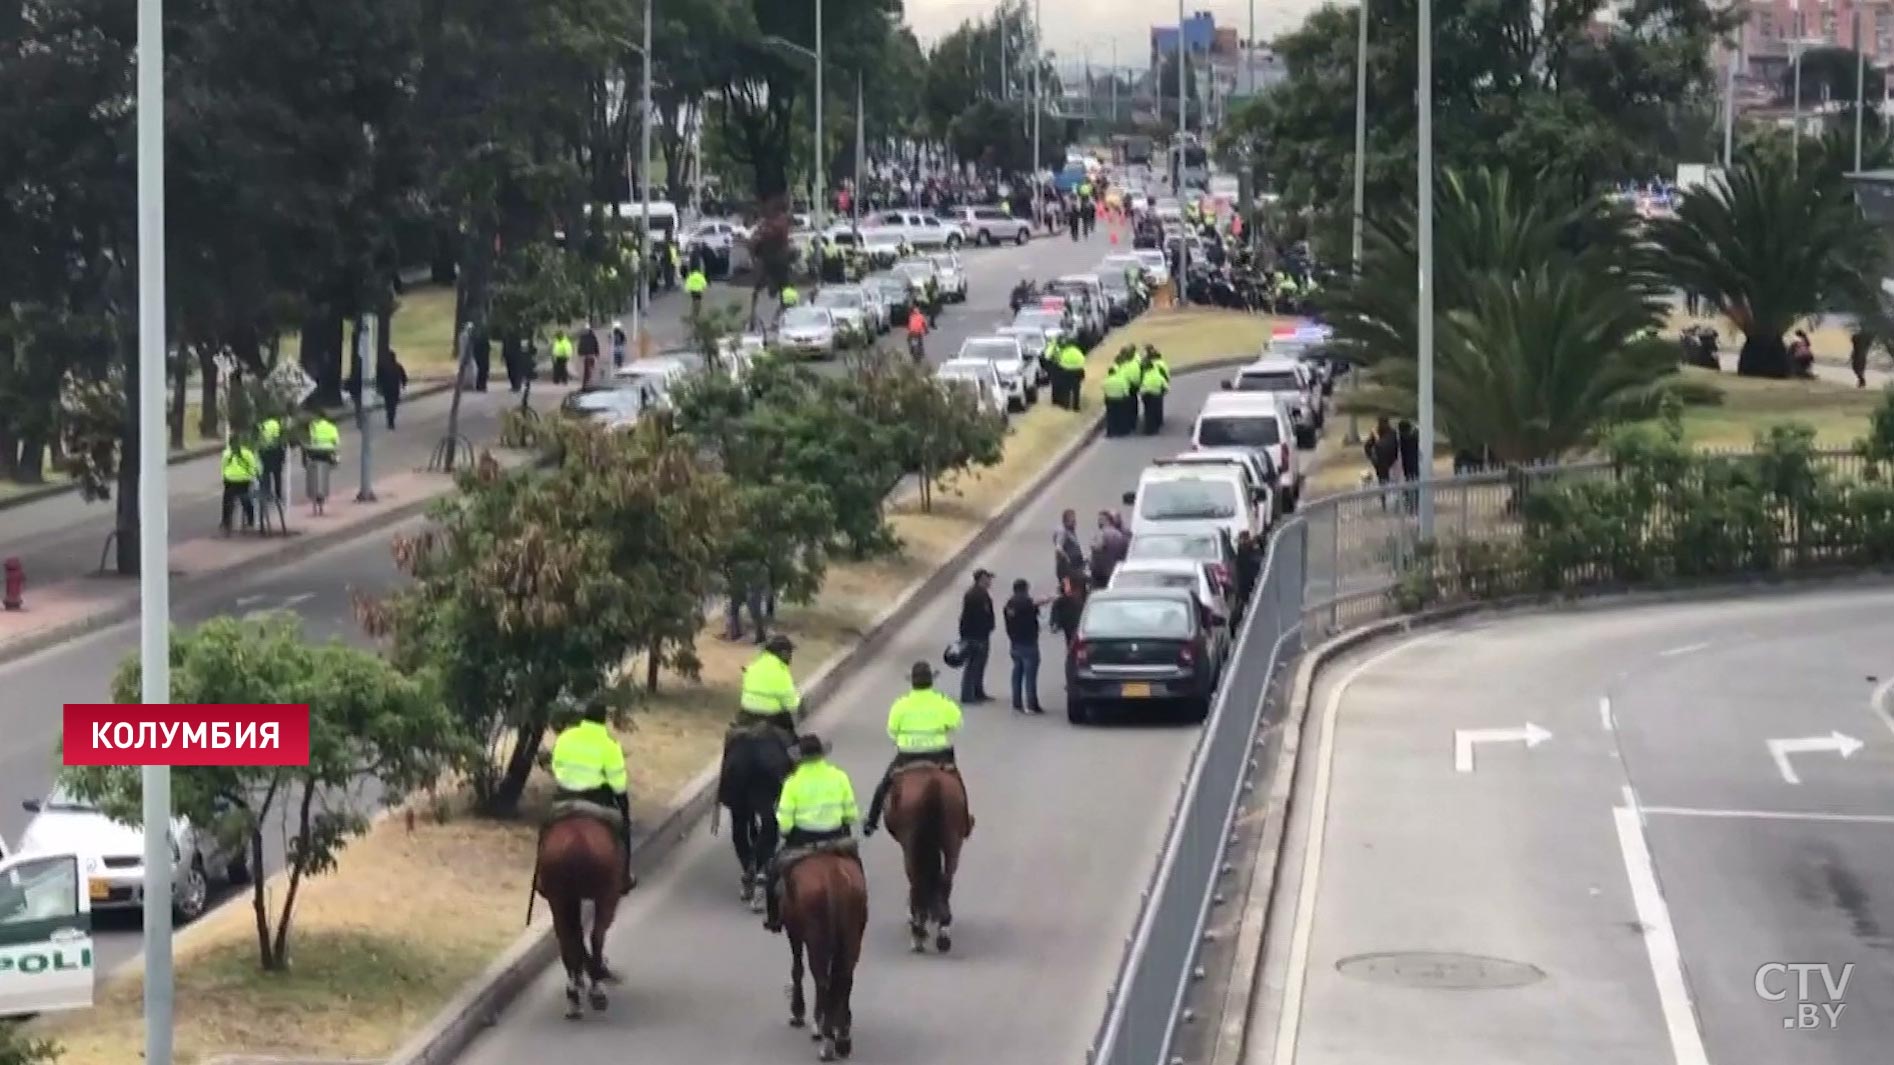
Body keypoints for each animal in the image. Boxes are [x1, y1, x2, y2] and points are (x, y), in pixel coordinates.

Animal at [537, 807, 625, 1015]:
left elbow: (575, 936)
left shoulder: (568, 900)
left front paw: (582, 975)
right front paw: (597, 972)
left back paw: (574, 996)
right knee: (596, 936)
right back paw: (596, 989)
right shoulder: (608, 897)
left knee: (566, 938)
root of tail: (575, 840)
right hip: (606, 895)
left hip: (560, 899)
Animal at [780, 845, 867, 1053]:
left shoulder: (794, 933)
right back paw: (842, 1037)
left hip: (817, 940)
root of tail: (835, 875)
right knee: (845, 979)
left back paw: (824, 1035)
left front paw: (797, 1012)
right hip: (852, 938)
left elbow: (797, 969)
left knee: (822, 980)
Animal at [886, 761, 977, 955]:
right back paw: (943, 934)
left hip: (911, 845)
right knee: (945, 880)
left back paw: (918, 932)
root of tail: (932, 784)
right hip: (952, 839)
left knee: (917, 881)